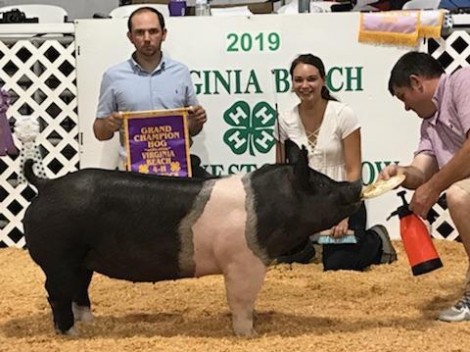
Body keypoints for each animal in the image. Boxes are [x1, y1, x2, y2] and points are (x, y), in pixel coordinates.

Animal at [22, 141, 362, 338]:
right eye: (322, 184)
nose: (355, 185)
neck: (267, 207)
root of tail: (46, 185)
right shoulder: (243, 260)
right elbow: (241, 300)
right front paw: (249, 335)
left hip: (83, 260)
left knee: (78, 289)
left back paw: (89, 325)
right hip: (59, 256)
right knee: (55, 292)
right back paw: (71, 334)